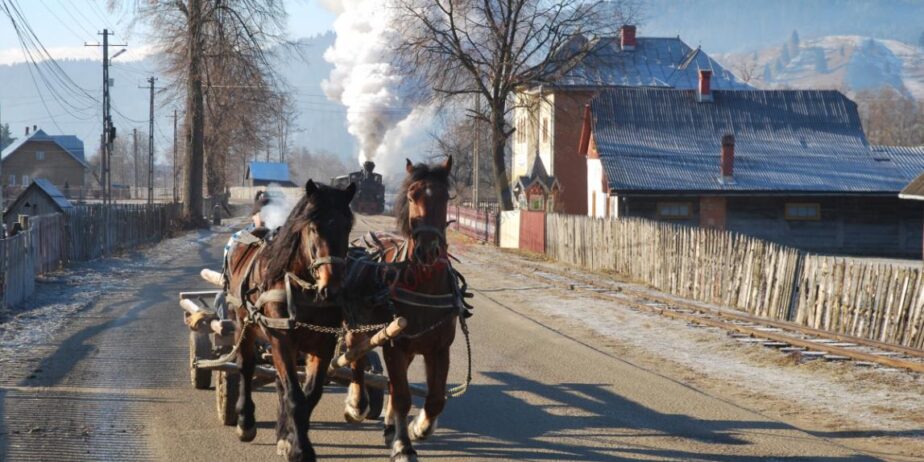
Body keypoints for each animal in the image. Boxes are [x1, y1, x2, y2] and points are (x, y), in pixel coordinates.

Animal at [224, 180, 354, 462]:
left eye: (347, 226)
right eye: (313, 228)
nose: (331, 289)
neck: (301, 287)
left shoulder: (323, 344)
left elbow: (310, 394)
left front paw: (292, 439)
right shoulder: (280, 339)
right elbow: (294, 394)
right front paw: (300, 449)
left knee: (279, 383)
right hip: (243, 325)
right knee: (245, 367)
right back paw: (245, 421)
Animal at [374, 157, 466, 460]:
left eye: (444, 197)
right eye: (413, 195)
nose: (427, 249)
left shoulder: (439, 347)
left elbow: (436, 399)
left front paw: (418, 428)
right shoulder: (394, 345)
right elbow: (402, 396)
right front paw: (403, 444)